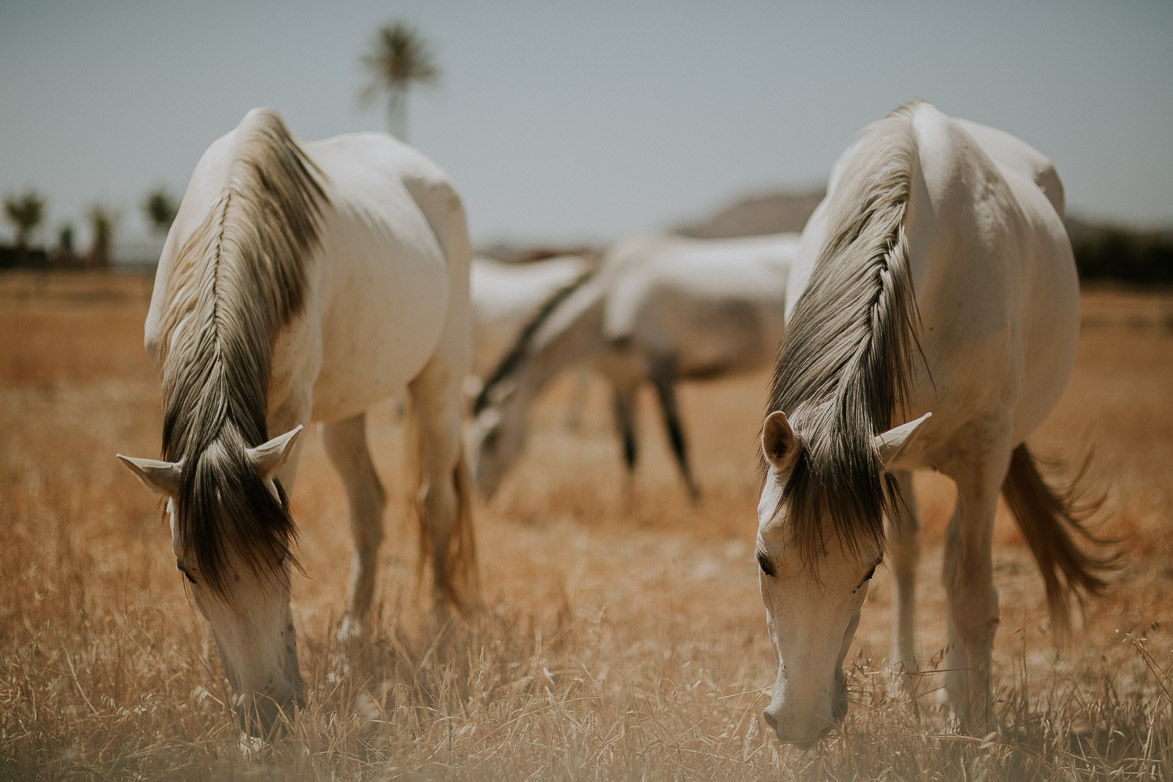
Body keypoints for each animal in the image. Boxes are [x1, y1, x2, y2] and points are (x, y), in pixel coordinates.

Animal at [116, 110, 478, 740]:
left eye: (283, 556)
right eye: (187, 570)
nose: (268, 714)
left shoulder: (288, 415)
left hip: (437, 385)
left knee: (436, 503)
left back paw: (436, 632)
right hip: (345, 409)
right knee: (369, 511)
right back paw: (350, 644)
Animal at [469, 234, 797, 501]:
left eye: (493, 435)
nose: (479, 489)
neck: (611, 301)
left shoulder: (663, 374)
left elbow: (677, 439)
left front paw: (694, 498)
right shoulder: (622, 381)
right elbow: (628, 446)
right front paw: (628, 501)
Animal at [755, 99, 1112, 745]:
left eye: (862, 571)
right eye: (765, 561)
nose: (798, 721)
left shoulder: (984, 452)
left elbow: (971, 595)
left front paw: (978, 728)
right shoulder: (883, 446)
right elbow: (909, 559)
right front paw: (908, 694)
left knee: (957, 570)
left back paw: (958, 698)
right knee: (923, 557)